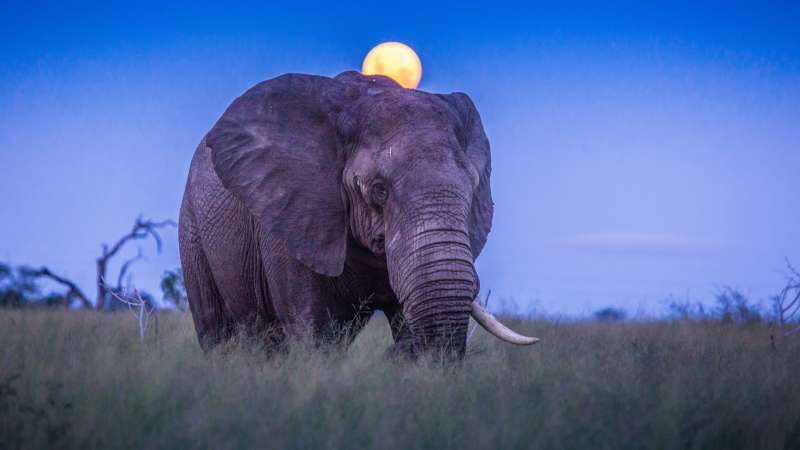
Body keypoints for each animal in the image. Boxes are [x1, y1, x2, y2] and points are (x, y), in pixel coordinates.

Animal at [179, 70, 538, 358]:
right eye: (379, 189)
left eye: (473, 187)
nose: (390, 355)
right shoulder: (290, 217)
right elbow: (312, 333)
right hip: (192, 227)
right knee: (216, 329)